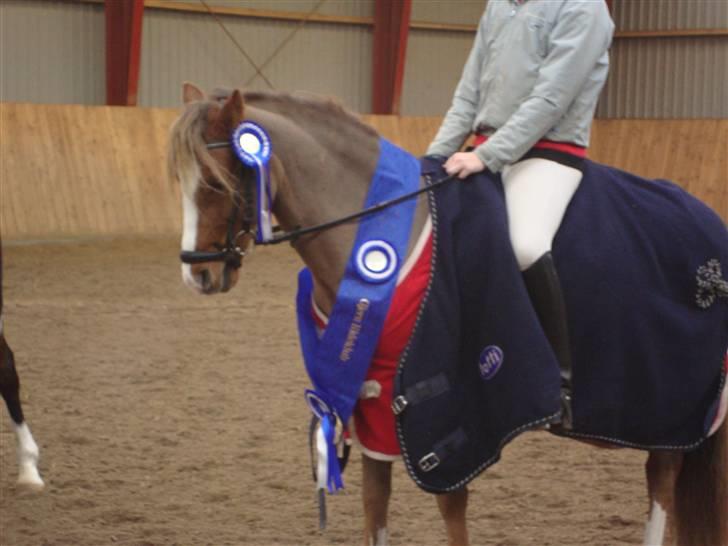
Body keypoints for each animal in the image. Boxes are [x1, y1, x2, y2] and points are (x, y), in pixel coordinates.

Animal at [168, 82, 724, 544]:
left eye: (217, 183)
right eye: (180, 181)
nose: (198, 274)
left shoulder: (451, 407)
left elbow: (452, 508)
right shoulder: (371, 401)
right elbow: (375, 507)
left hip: (670, 407)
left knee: (662, 484)